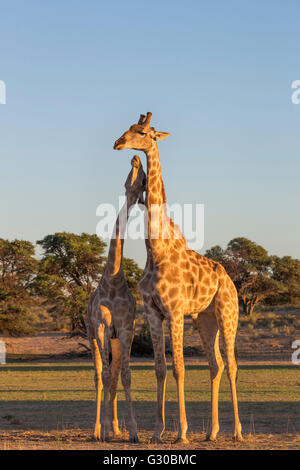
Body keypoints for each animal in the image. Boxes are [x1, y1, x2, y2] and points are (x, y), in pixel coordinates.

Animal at [113, 112, 243, 442]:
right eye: (128, 129)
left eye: (143, 132)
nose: (118, 143)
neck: (156, 250)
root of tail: (229, 280)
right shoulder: (153, 312)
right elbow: (160, 368)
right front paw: (158, 431)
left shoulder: (174, 311)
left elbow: (179, 368)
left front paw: (182, 432)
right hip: (204, 318)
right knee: (215, 364)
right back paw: (212, 432)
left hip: (228, 313)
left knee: (232, 364)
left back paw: (236, 432)